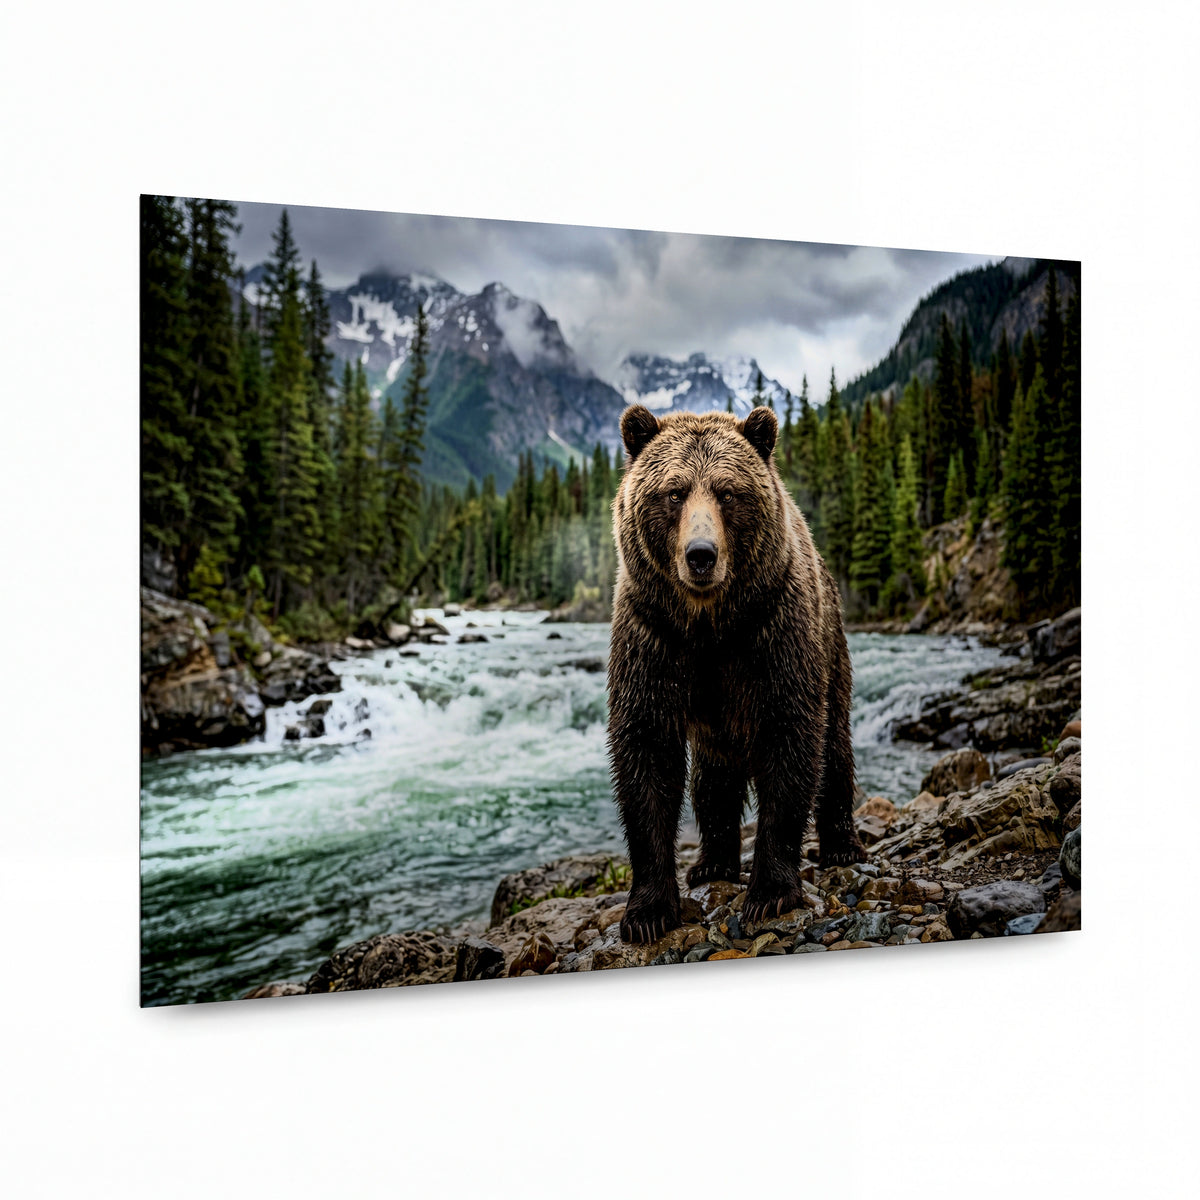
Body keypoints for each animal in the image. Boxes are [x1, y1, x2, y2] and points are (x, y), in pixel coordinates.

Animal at [606, 403, 864, 944]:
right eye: (675, 492)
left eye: (727, 492)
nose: (701, 554)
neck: (710, 625)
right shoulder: (652, 637)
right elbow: (646, 753)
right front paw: (647, 912)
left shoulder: (773, 632)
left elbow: (791, 741)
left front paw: (770, 892)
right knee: (712, 778)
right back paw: (712, 861)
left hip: (830, 640)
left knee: (834, 742)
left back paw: (841, 843)